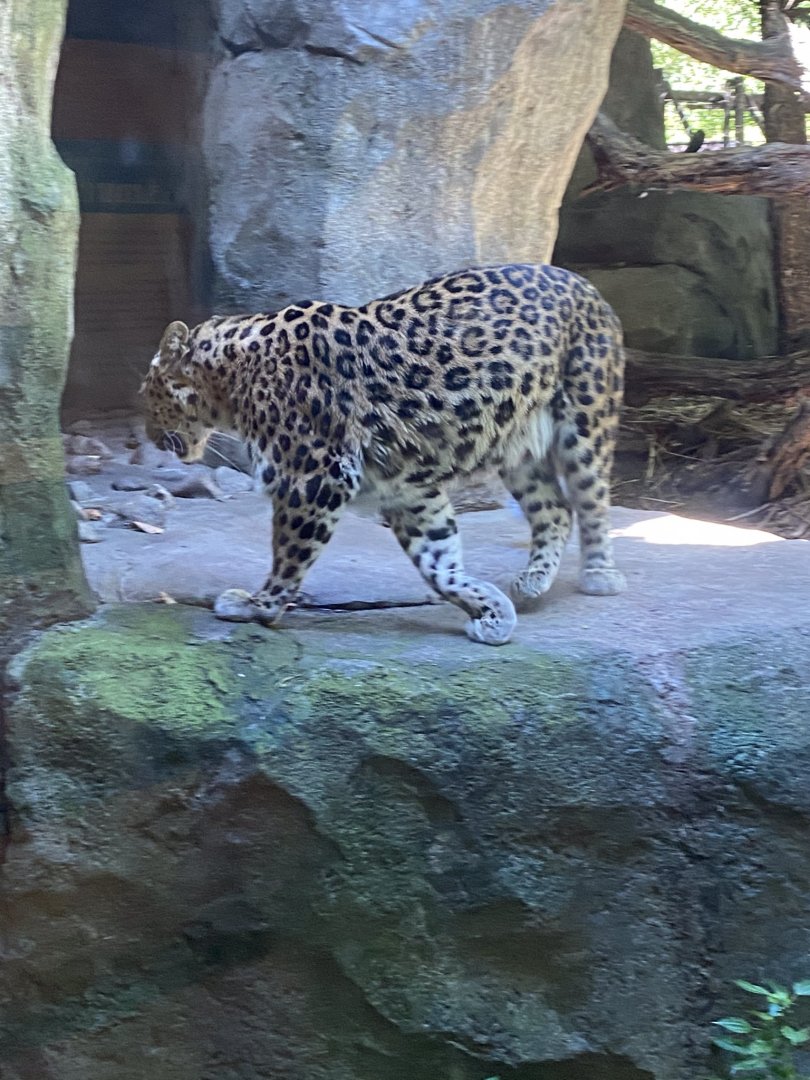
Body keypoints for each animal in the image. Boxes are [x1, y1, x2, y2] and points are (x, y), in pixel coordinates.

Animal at [141, 263, 626, 645]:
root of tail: (586, 284)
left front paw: (257, 606)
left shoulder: (314, 477)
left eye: (147, 393)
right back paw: (531, 582)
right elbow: (439, 561)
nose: (148, 434)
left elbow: (288, 553)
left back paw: (600, 575)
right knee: (556, 509)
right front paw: (489, 611)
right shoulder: (407, 492)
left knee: (591, 499)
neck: (229, 378)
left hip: (586, 421)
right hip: (519, 450)